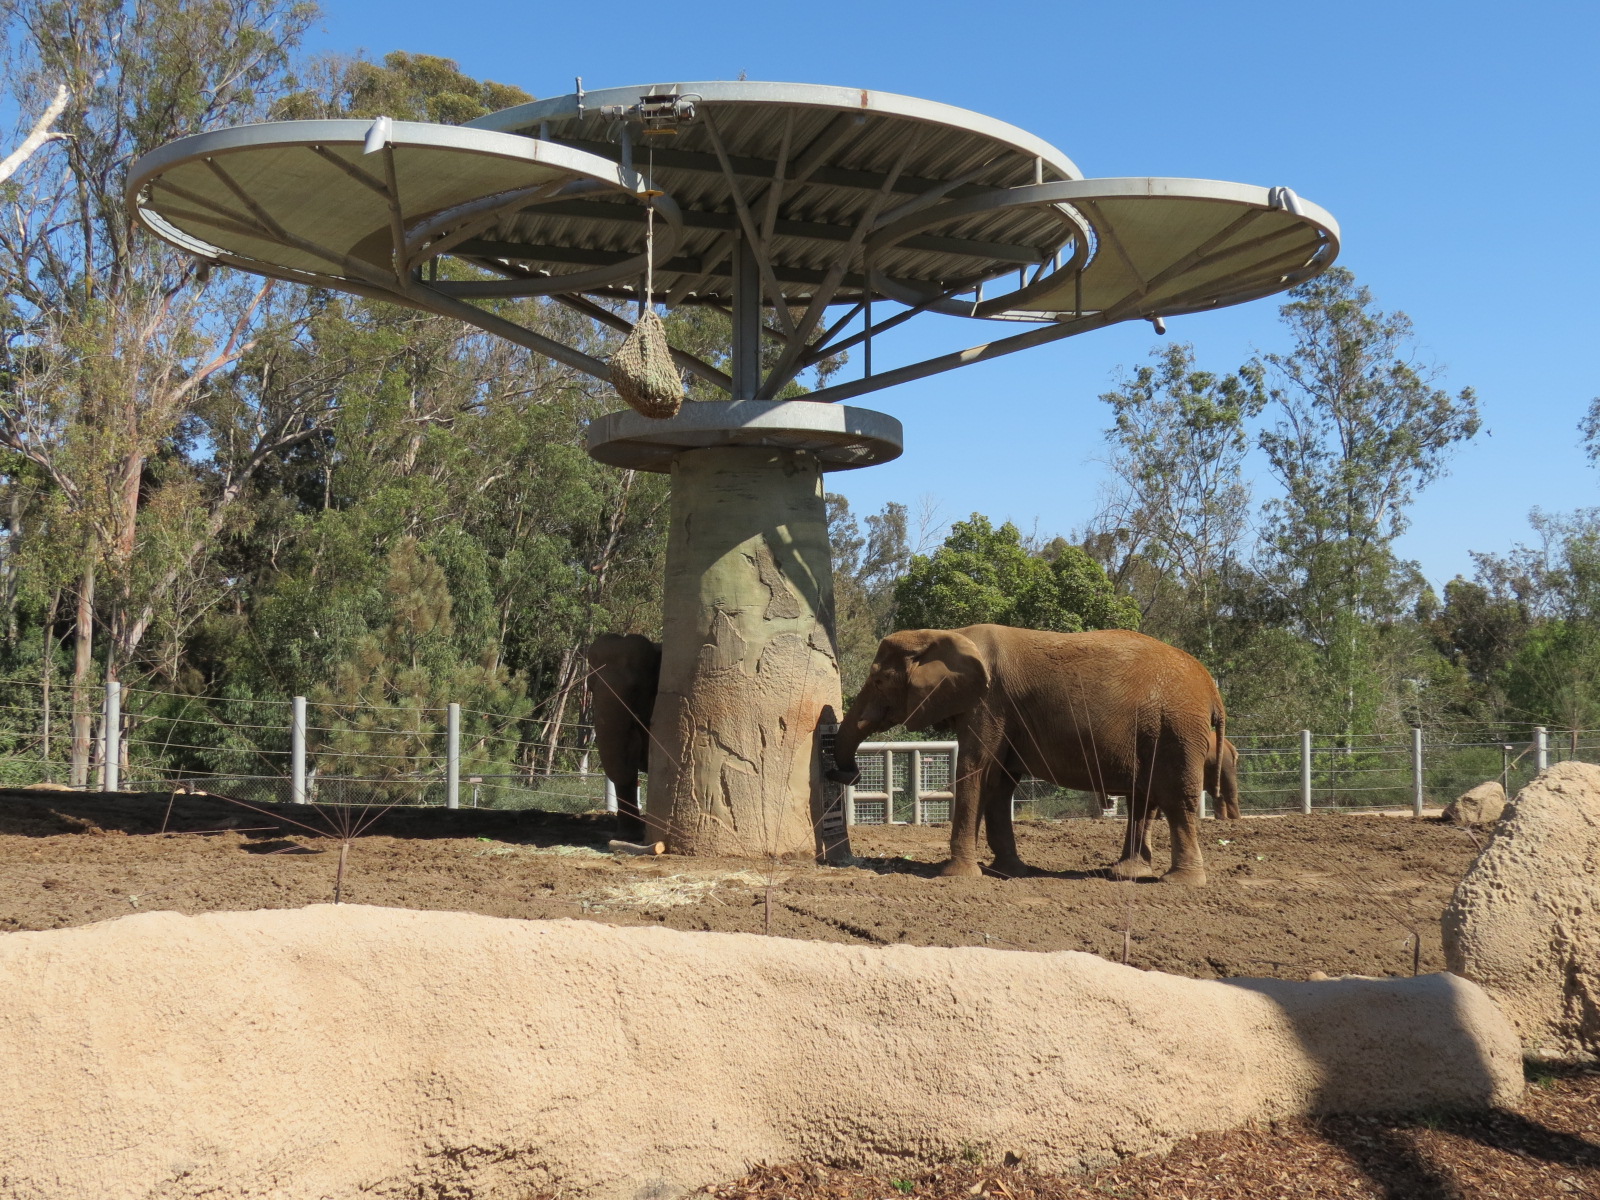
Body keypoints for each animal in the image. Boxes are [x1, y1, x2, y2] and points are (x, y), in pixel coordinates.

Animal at [828, 625, 1225, 885]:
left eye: (879, 682)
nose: (848, 774)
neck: (949, 633)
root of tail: (1212, 689)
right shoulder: (1001, 710)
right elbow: (999, 781)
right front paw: (1007, 872)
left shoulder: (989, 702)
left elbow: (975, 767)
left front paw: (958, 876)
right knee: (1143, 799)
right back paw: (1126, 873)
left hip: (1176, 728)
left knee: (1176, 798)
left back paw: (1180, 882)